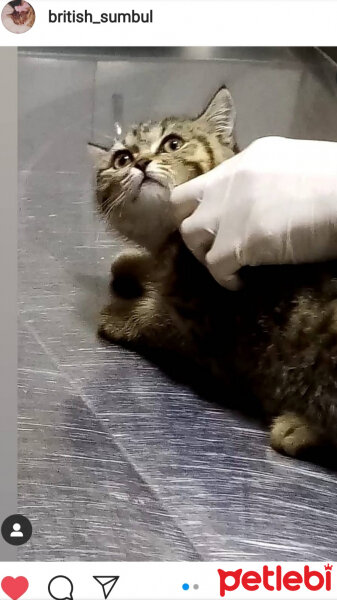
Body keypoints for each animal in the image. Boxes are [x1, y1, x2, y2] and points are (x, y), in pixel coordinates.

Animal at [88, 85, 336, 460]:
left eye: (173, 144)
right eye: (122, 160)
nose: (142, 163)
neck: (170, 238)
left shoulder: (205, 327)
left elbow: (155, 320)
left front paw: (120, 315)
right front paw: (133, 263)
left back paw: (299, 429)